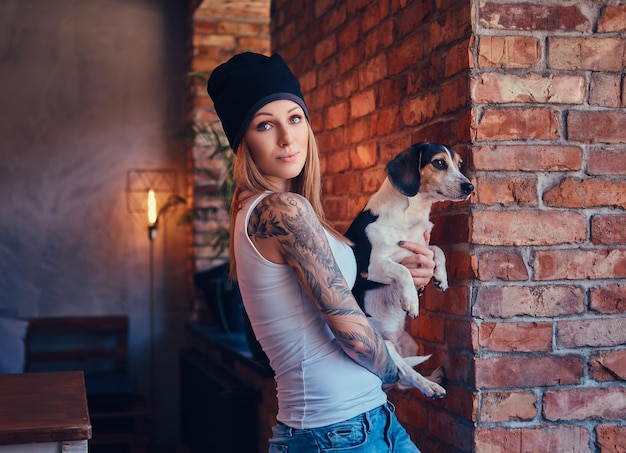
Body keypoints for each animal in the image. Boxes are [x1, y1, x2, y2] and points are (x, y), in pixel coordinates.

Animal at [342, 141, 472, 396]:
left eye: (459, 164)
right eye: (439, 163)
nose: (470, 186)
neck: (410, 214)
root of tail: (391, 338)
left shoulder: (421, 247)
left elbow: (436, 250)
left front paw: (440, 277)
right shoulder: (372, 266)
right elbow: (402, 271)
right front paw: (411, 300)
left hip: (410, 344)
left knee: (401, 380)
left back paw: (434, 377)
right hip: (383, 346)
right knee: (404, 372)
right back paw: (429, 385)